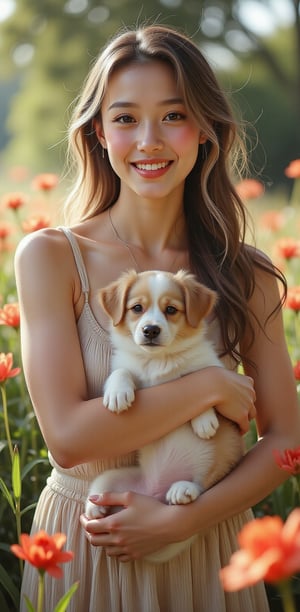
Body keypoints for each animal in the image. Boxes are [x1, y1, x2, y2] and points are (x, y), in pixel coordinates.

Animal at [86, 270, 244, 560]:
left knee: (204, 487)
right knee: (100, 489)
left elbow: (201, 377)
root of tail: (155, 494)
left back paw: (183, 489)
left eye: (171, 310)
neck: (158, 360)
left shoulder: (212, 367)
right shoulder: (125, 366)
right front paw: (118, 393)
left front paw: (204, 420)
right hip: (112, 478)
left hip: (222, 463)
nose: (150, 330)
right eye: (137, 308)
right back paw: (94, 507)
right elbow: (121, 371)